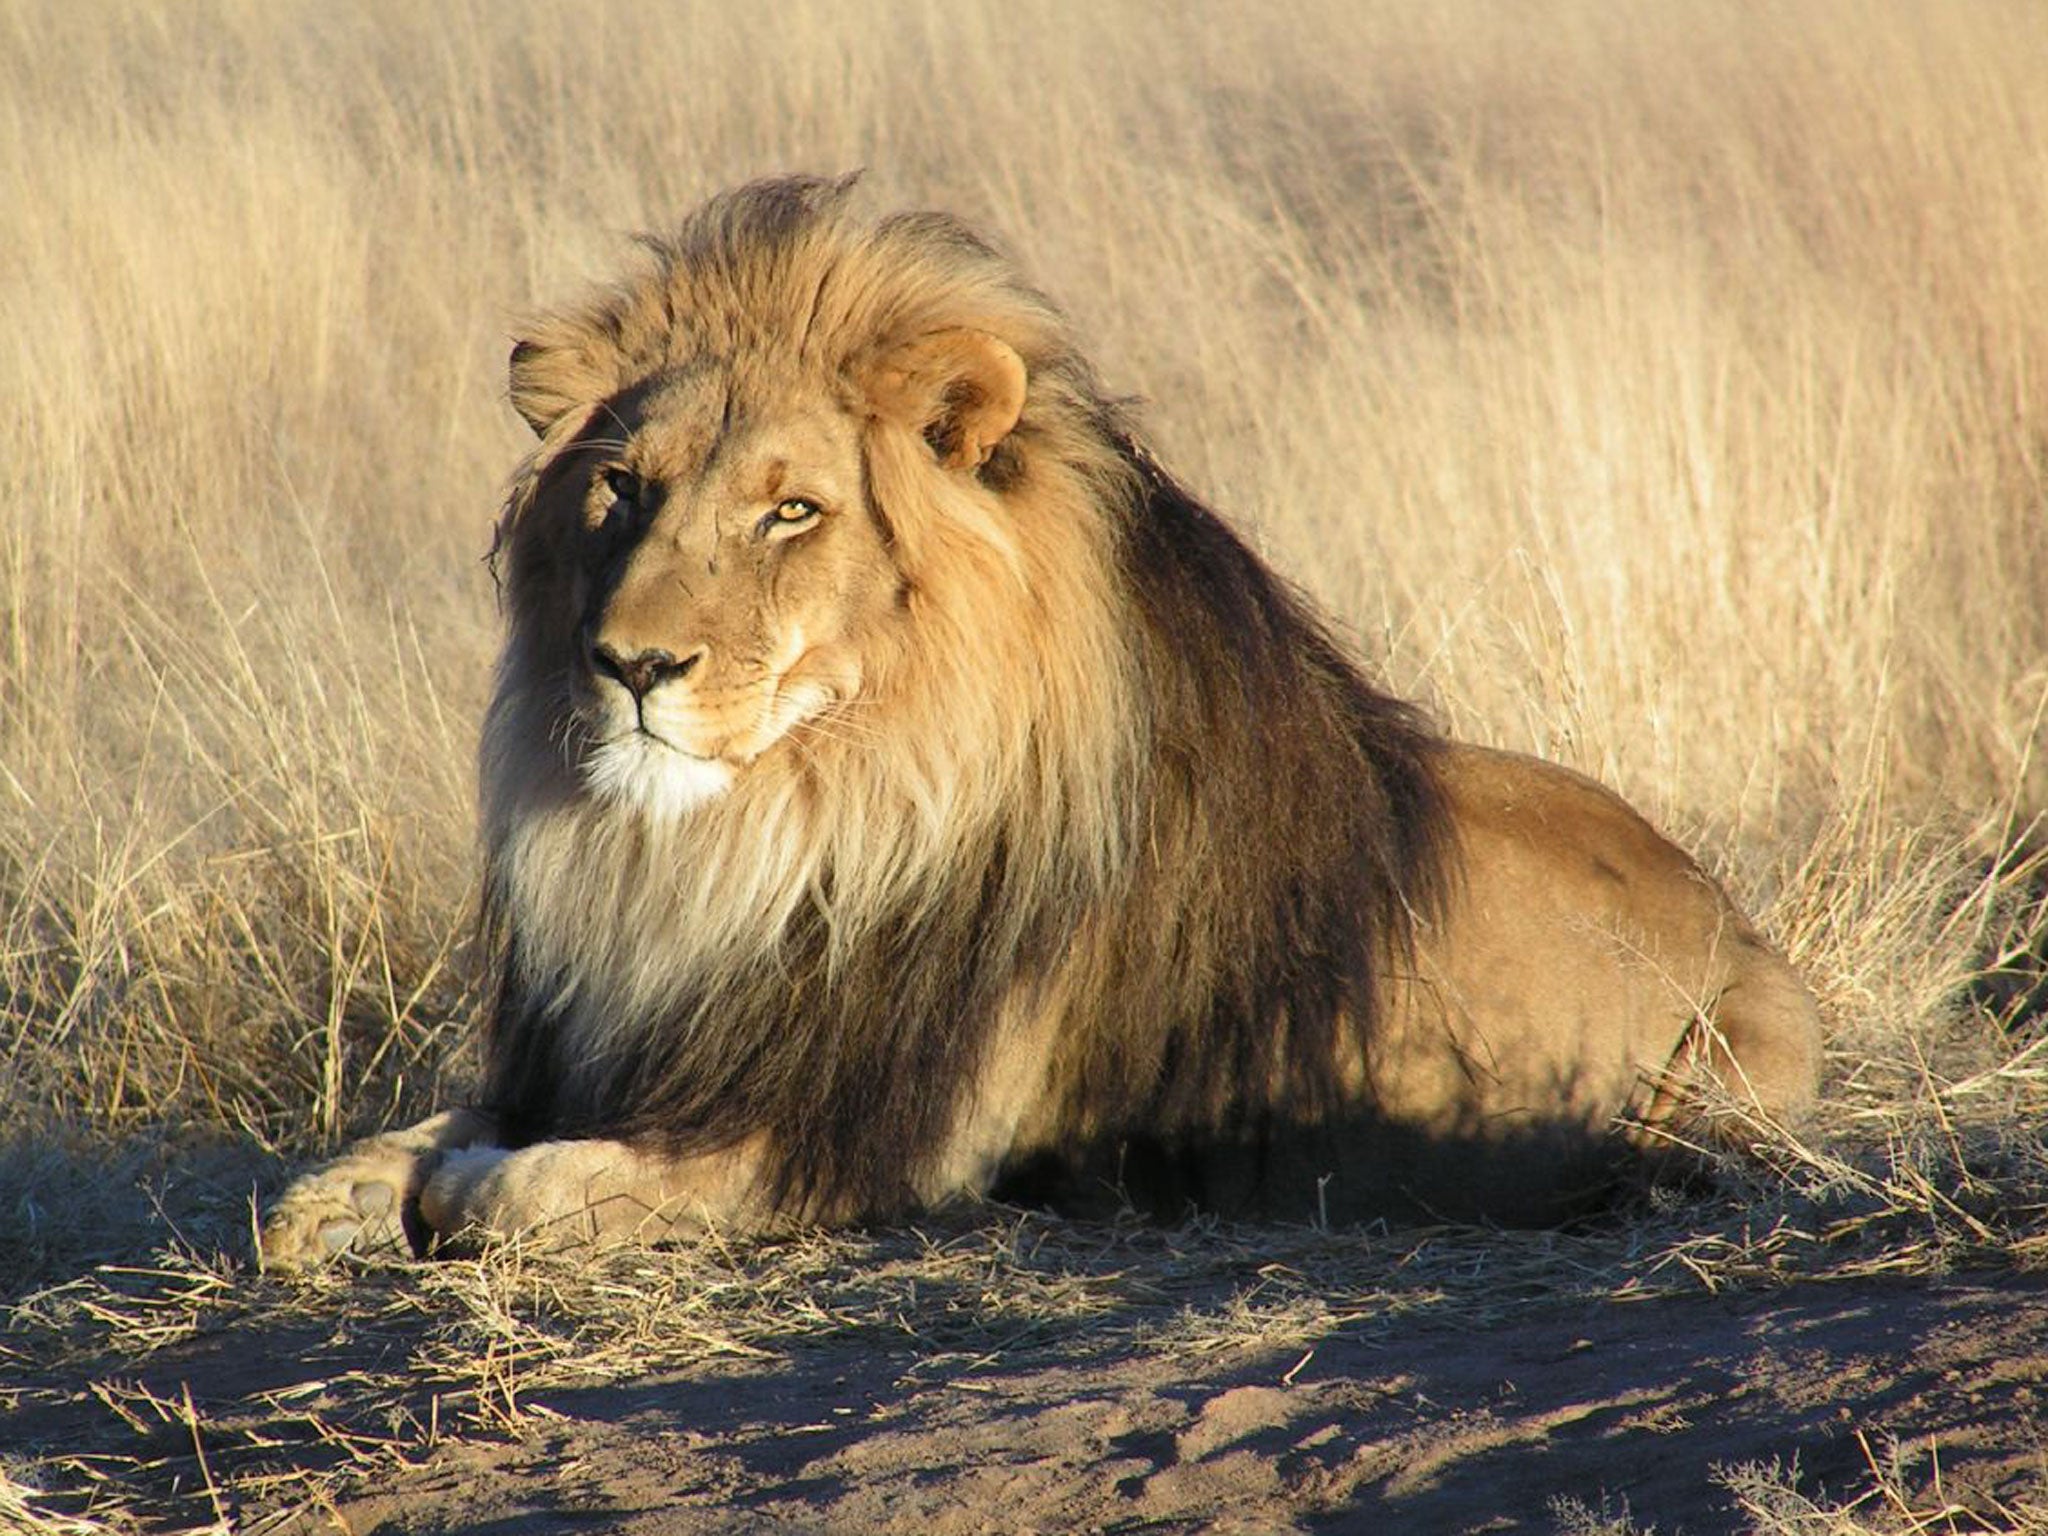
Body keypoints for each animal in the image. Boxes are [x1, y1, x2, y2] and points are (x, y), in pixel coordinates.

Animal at [260, 175, 1822, 1267]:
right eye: (621, 490)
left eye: (791, 510)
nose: (630, 664)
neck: (763, 838)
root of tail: (1730, 910)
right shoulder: (621, 1046)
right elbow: (407, 1143)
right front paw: (338, 1200)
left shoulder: (858, 1141)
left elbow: (523, 1190)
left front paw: (459, 1190)